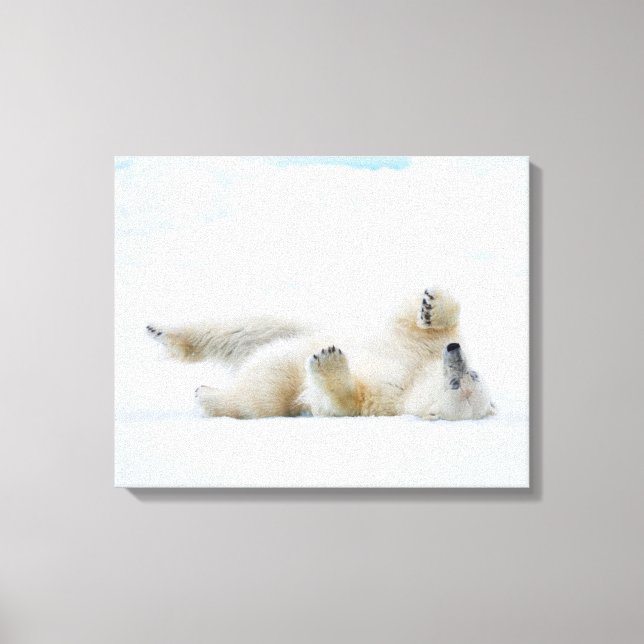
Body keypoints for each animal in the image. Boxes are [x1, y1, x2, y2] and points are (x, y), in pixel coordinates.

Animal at [145, 287, 495, 421]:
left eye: (458, 384)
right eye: (472, 374)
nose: (455, 353)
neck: (413, 382)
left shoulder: (384, 400)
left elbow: (340, 401)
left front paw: (329, 360)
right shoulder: (417, 351)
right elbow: (414, 328)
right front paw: (431, 307)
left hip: (278, 383)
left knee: (260, 396)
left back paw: (207, 394)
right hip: (291, 328)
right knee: (244, 329)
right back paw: (162, 332)